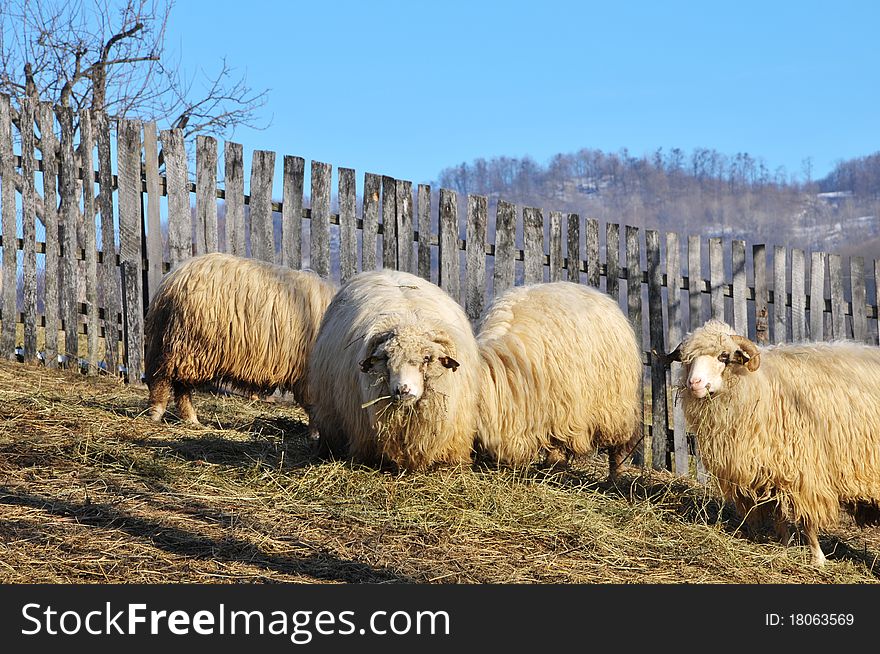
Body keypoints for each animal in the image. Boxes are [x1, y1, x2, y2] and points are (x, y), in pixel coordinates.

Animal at [144, 251, 336, 426]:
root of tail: (172, 278)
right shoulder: (310, 376)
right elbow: (314, 408)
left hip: (179, 345)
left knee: (179, 385)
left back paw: (190, 419)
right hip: (188, 344)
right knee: (164, 379)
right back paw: (157, 413)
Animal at [474, 282, 640, 482]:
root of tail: (598, 294)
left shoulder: (563, 410)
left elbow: (558, 444)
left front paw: (555, 469)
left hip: (615, 407)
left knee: (618, 445)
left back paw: (617, 475)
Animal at [656, 320, 880, 568]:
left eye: (724, 356)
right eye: (687, 359)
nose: (694, 383)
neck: (756, 386)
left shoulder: (806, 470)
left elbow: (808, 521)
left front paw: (817, 559)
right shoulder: (771, 472)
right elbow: (780, 517)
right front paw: (784, 548)